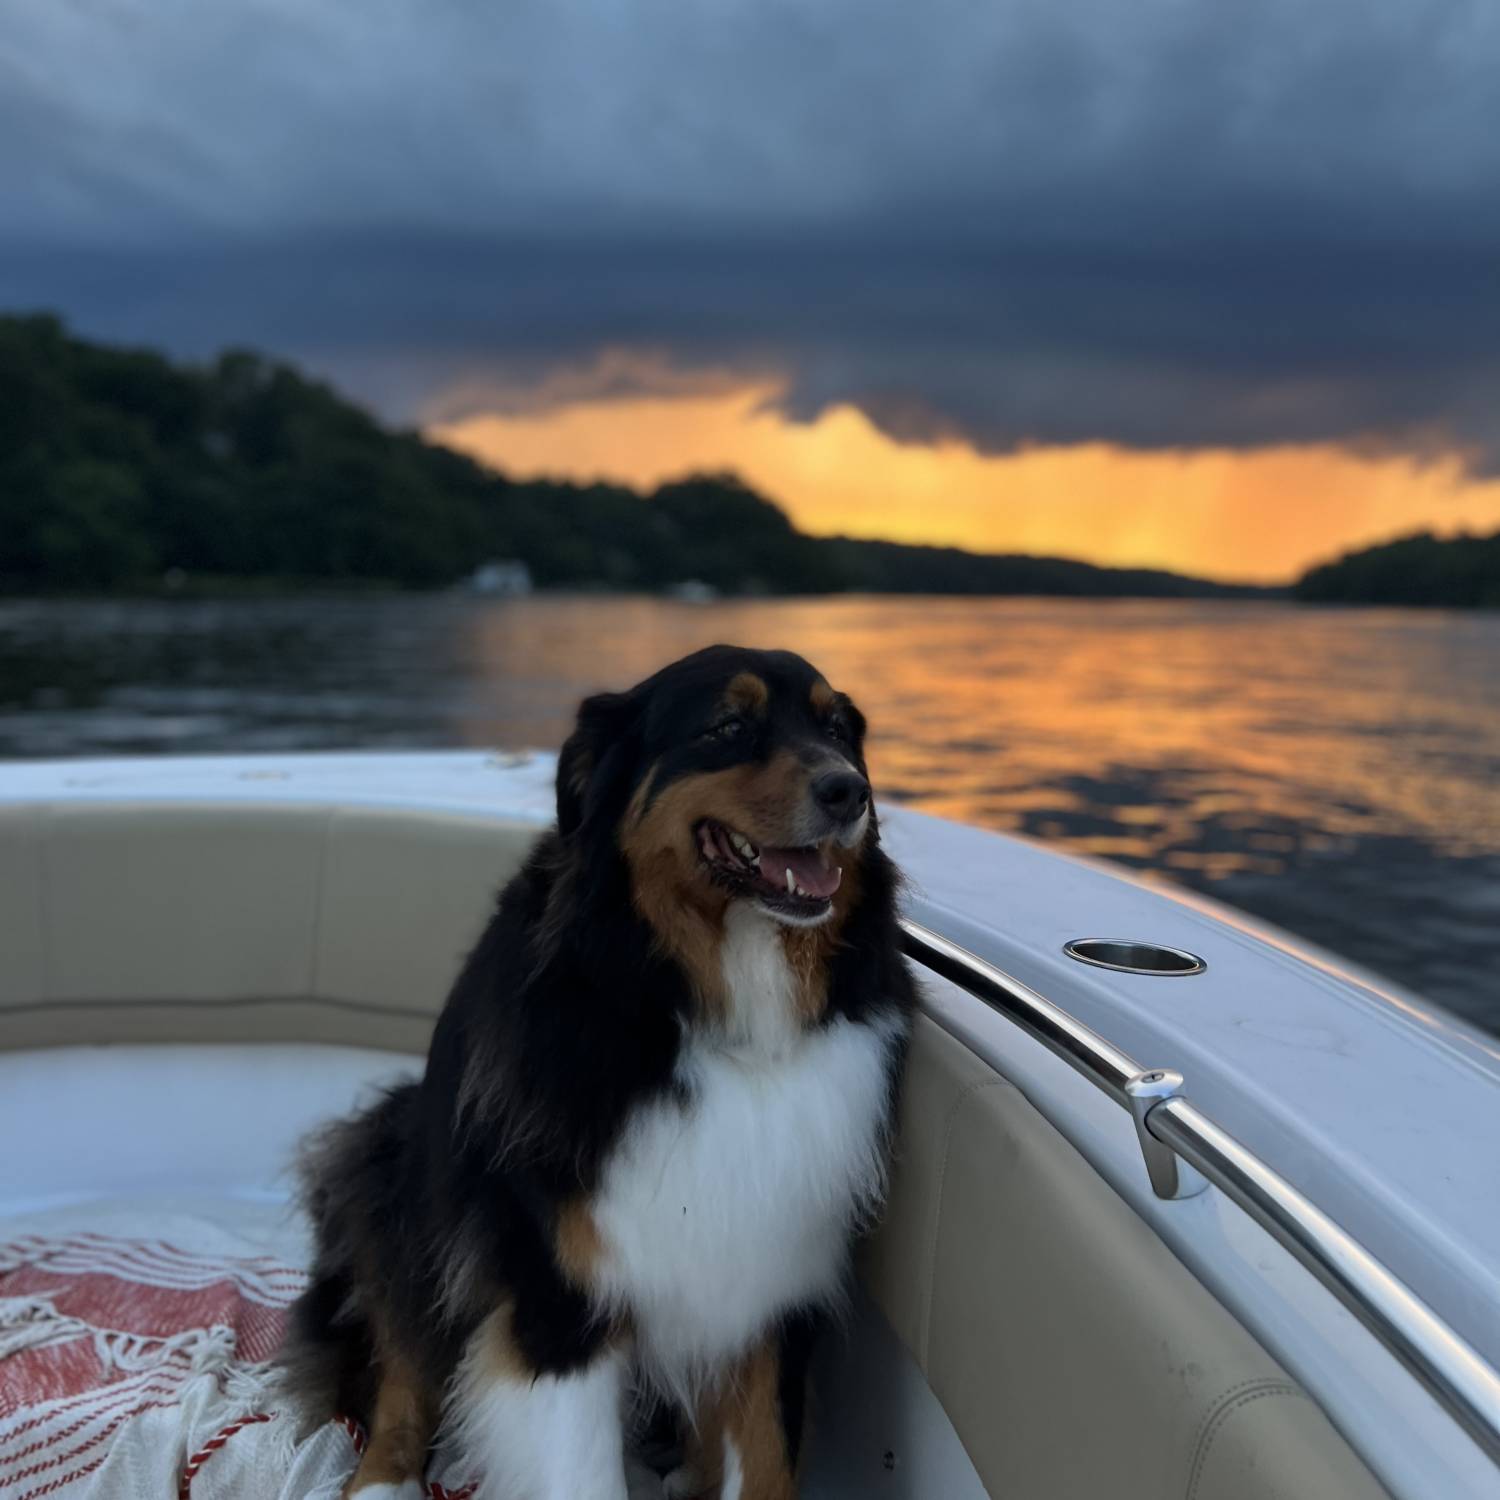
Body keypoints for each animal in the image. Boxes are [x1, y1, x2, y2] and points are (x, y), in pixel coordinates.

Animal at [277, 645, 918, 1500]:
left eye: (839, 728)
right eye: (728, 726)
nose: (850, 791)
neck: (718, 1015)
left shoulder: (774, 1287)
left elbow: (767, 1457)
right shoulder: (561, 1300)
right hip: (392, 1168)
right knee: (403, 1363)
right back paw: (383, 1480)